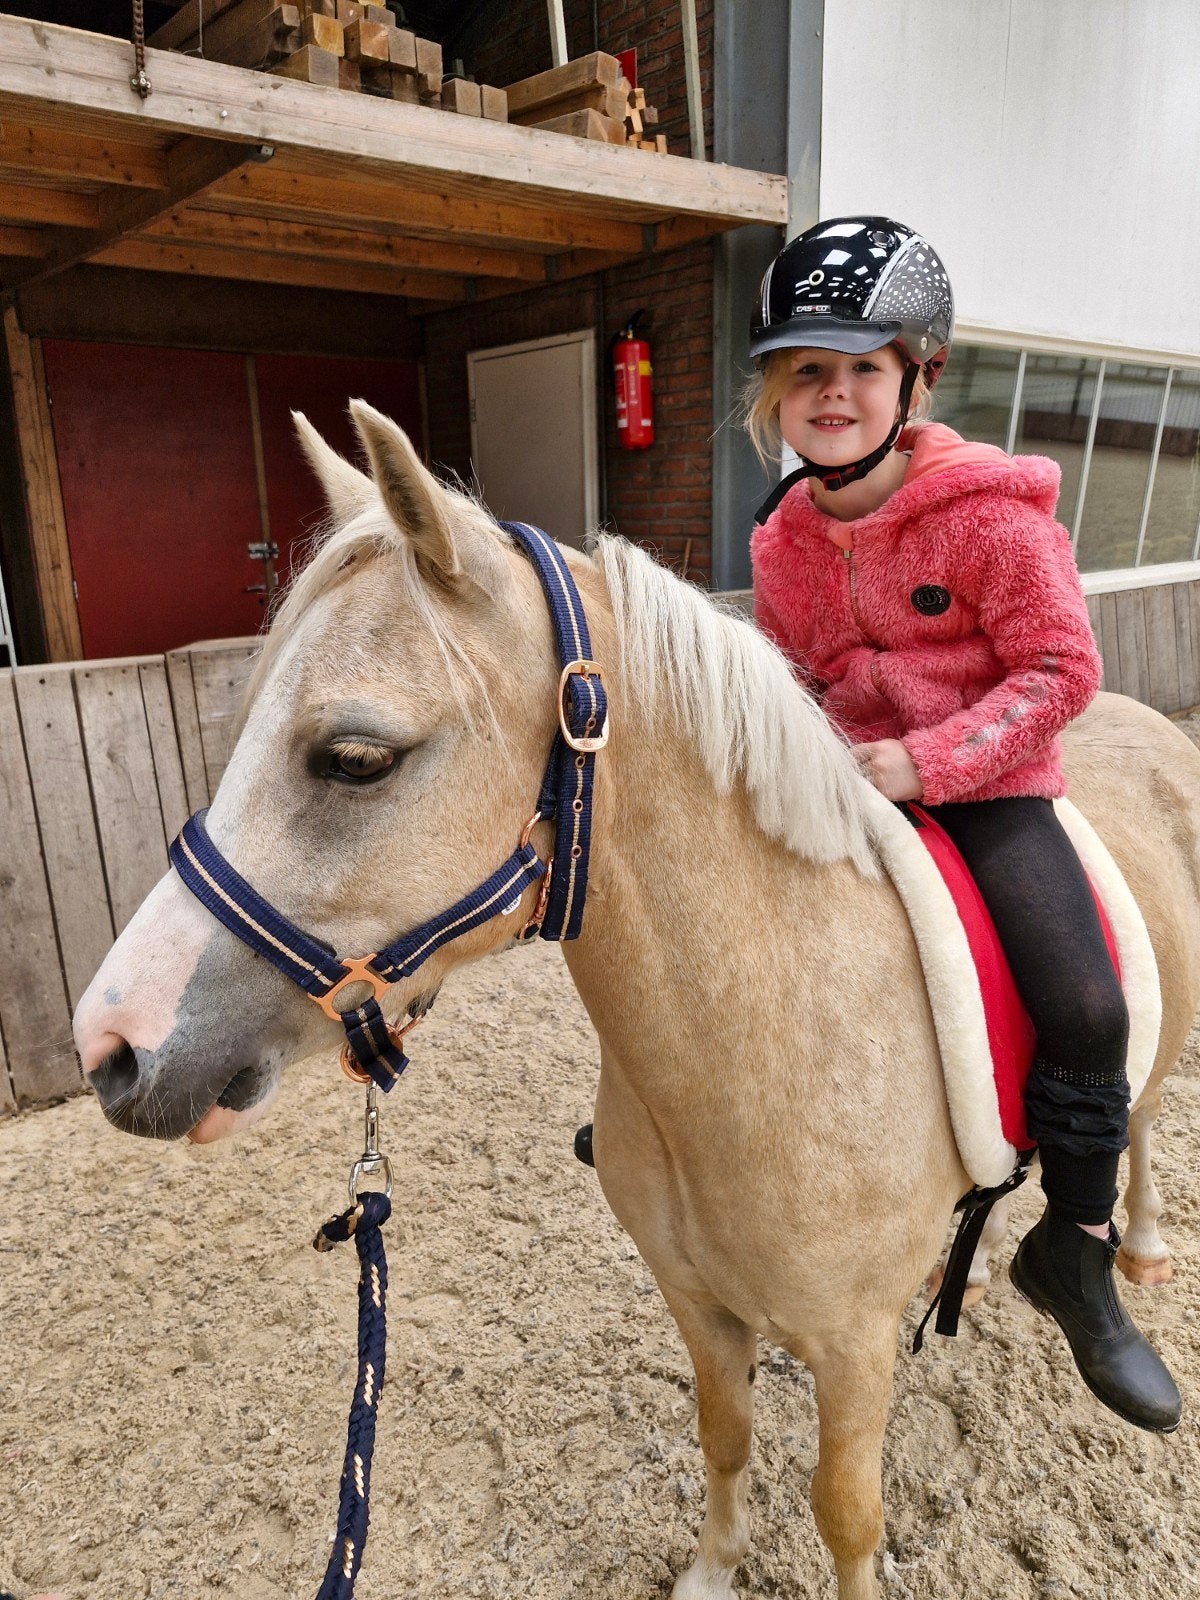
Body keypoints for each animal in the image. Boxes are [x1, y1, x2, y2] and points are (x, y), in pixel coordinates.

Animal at [73, 402, 1200, 1600]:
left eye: (356, 757)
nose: (115, 1043)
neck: (762, 1047)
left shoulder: (852, 1350)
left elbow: (847, 1514)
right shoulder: (696, 1304)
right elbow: (725, 1434)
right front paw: (712, 1571)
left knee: (1133, 1121)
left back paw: (1134, 1260)